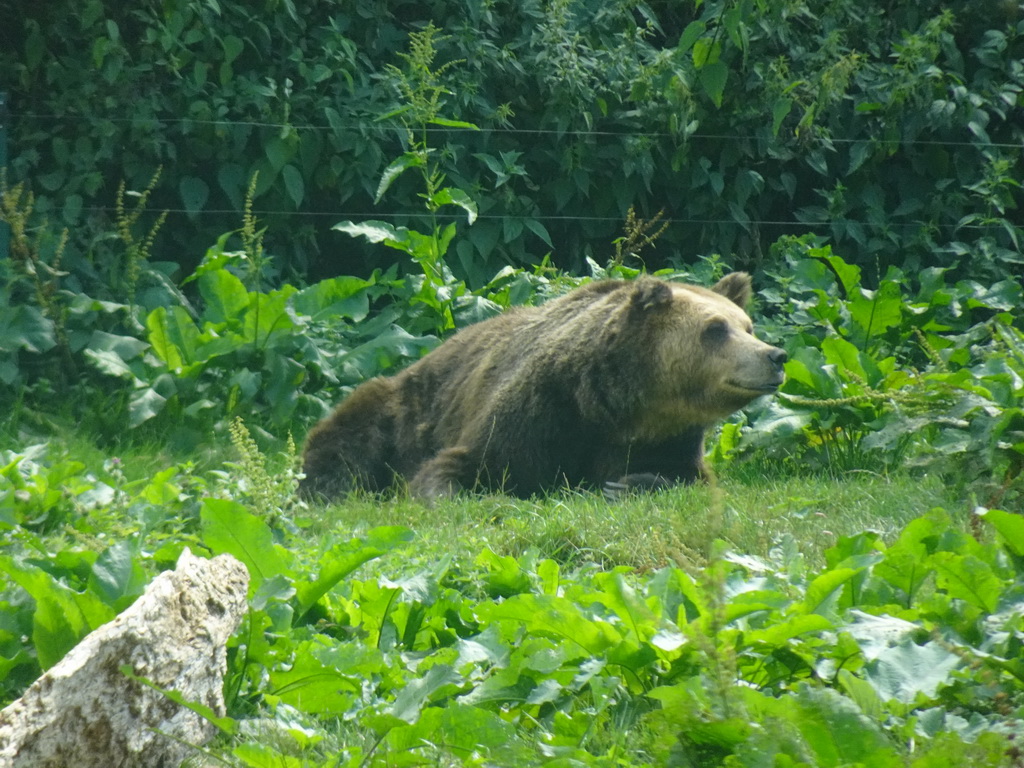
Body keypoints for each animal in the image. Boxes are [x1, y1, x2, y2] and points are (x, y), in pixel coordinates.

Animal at [299, 274, 786, 501]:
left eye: (747, 325)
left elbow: (691, 481)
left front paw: (625, 484)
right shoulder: (540, 411)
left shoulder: (670, 437)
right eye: (716, 329)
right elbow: (463, 468)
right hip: (398, 405)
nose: (776, 356)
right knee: (347, 440)